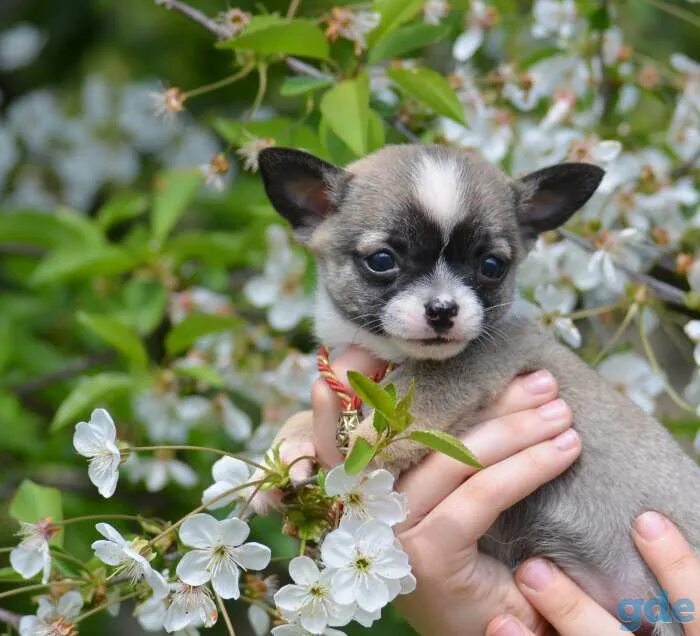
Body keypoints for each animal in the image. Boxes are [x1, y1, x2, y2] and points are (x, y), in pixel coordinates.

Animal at [258, 145, 700, 636]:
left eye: (491, 266)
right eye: (382, 260)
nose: (442, 308)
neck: (390, 354)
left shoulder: (476, 363)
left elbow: (415, 396)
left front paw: (362, 444)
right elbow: (304, 417)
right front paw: (285, 451)